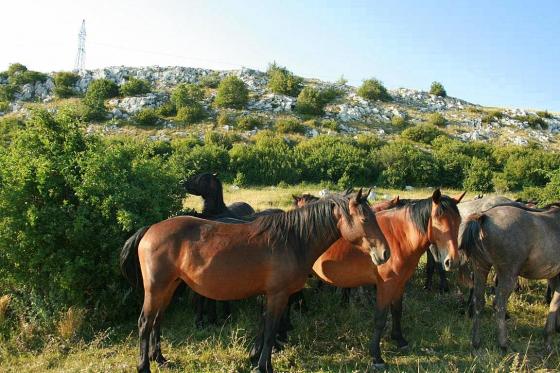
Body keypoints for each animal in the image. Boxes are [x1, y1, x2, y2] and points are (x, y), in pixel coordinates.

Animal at [119, 190, 390, 370]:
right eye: (365, 219)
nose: (385, 253)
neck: (293, 240)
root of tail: (150, 229)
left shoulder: (270, 295)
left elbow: (264, 328)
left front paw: (258, 360)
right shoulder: (278, 295)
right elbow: (270, 330)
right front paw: (263, 366)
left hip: (169, 287)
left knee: (157, 321)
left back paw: (160, 358)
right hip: (156, 288)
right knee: (145, 323)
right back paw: (144, 366)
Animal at [298, 189, 464, 366]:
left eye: (459, 221)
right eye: (438, 221)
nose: (452, 261)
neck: (399, 237)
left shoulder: (400, 283)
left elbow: (397, 310)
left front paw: (399, 340)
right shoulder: (386, 285)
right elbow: (380, 318)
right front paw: (376, 356)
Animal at [460, 202, 560, 350]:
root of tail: (484, 216)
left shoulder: (553, 277)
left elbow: (554, 302)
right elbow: (555, 303)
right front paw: (548, 341)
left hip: (480, 268)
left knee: (478, 301)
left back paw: (476, 342)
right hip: (508, 275)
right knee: (499, 304)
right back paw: (503, 344)